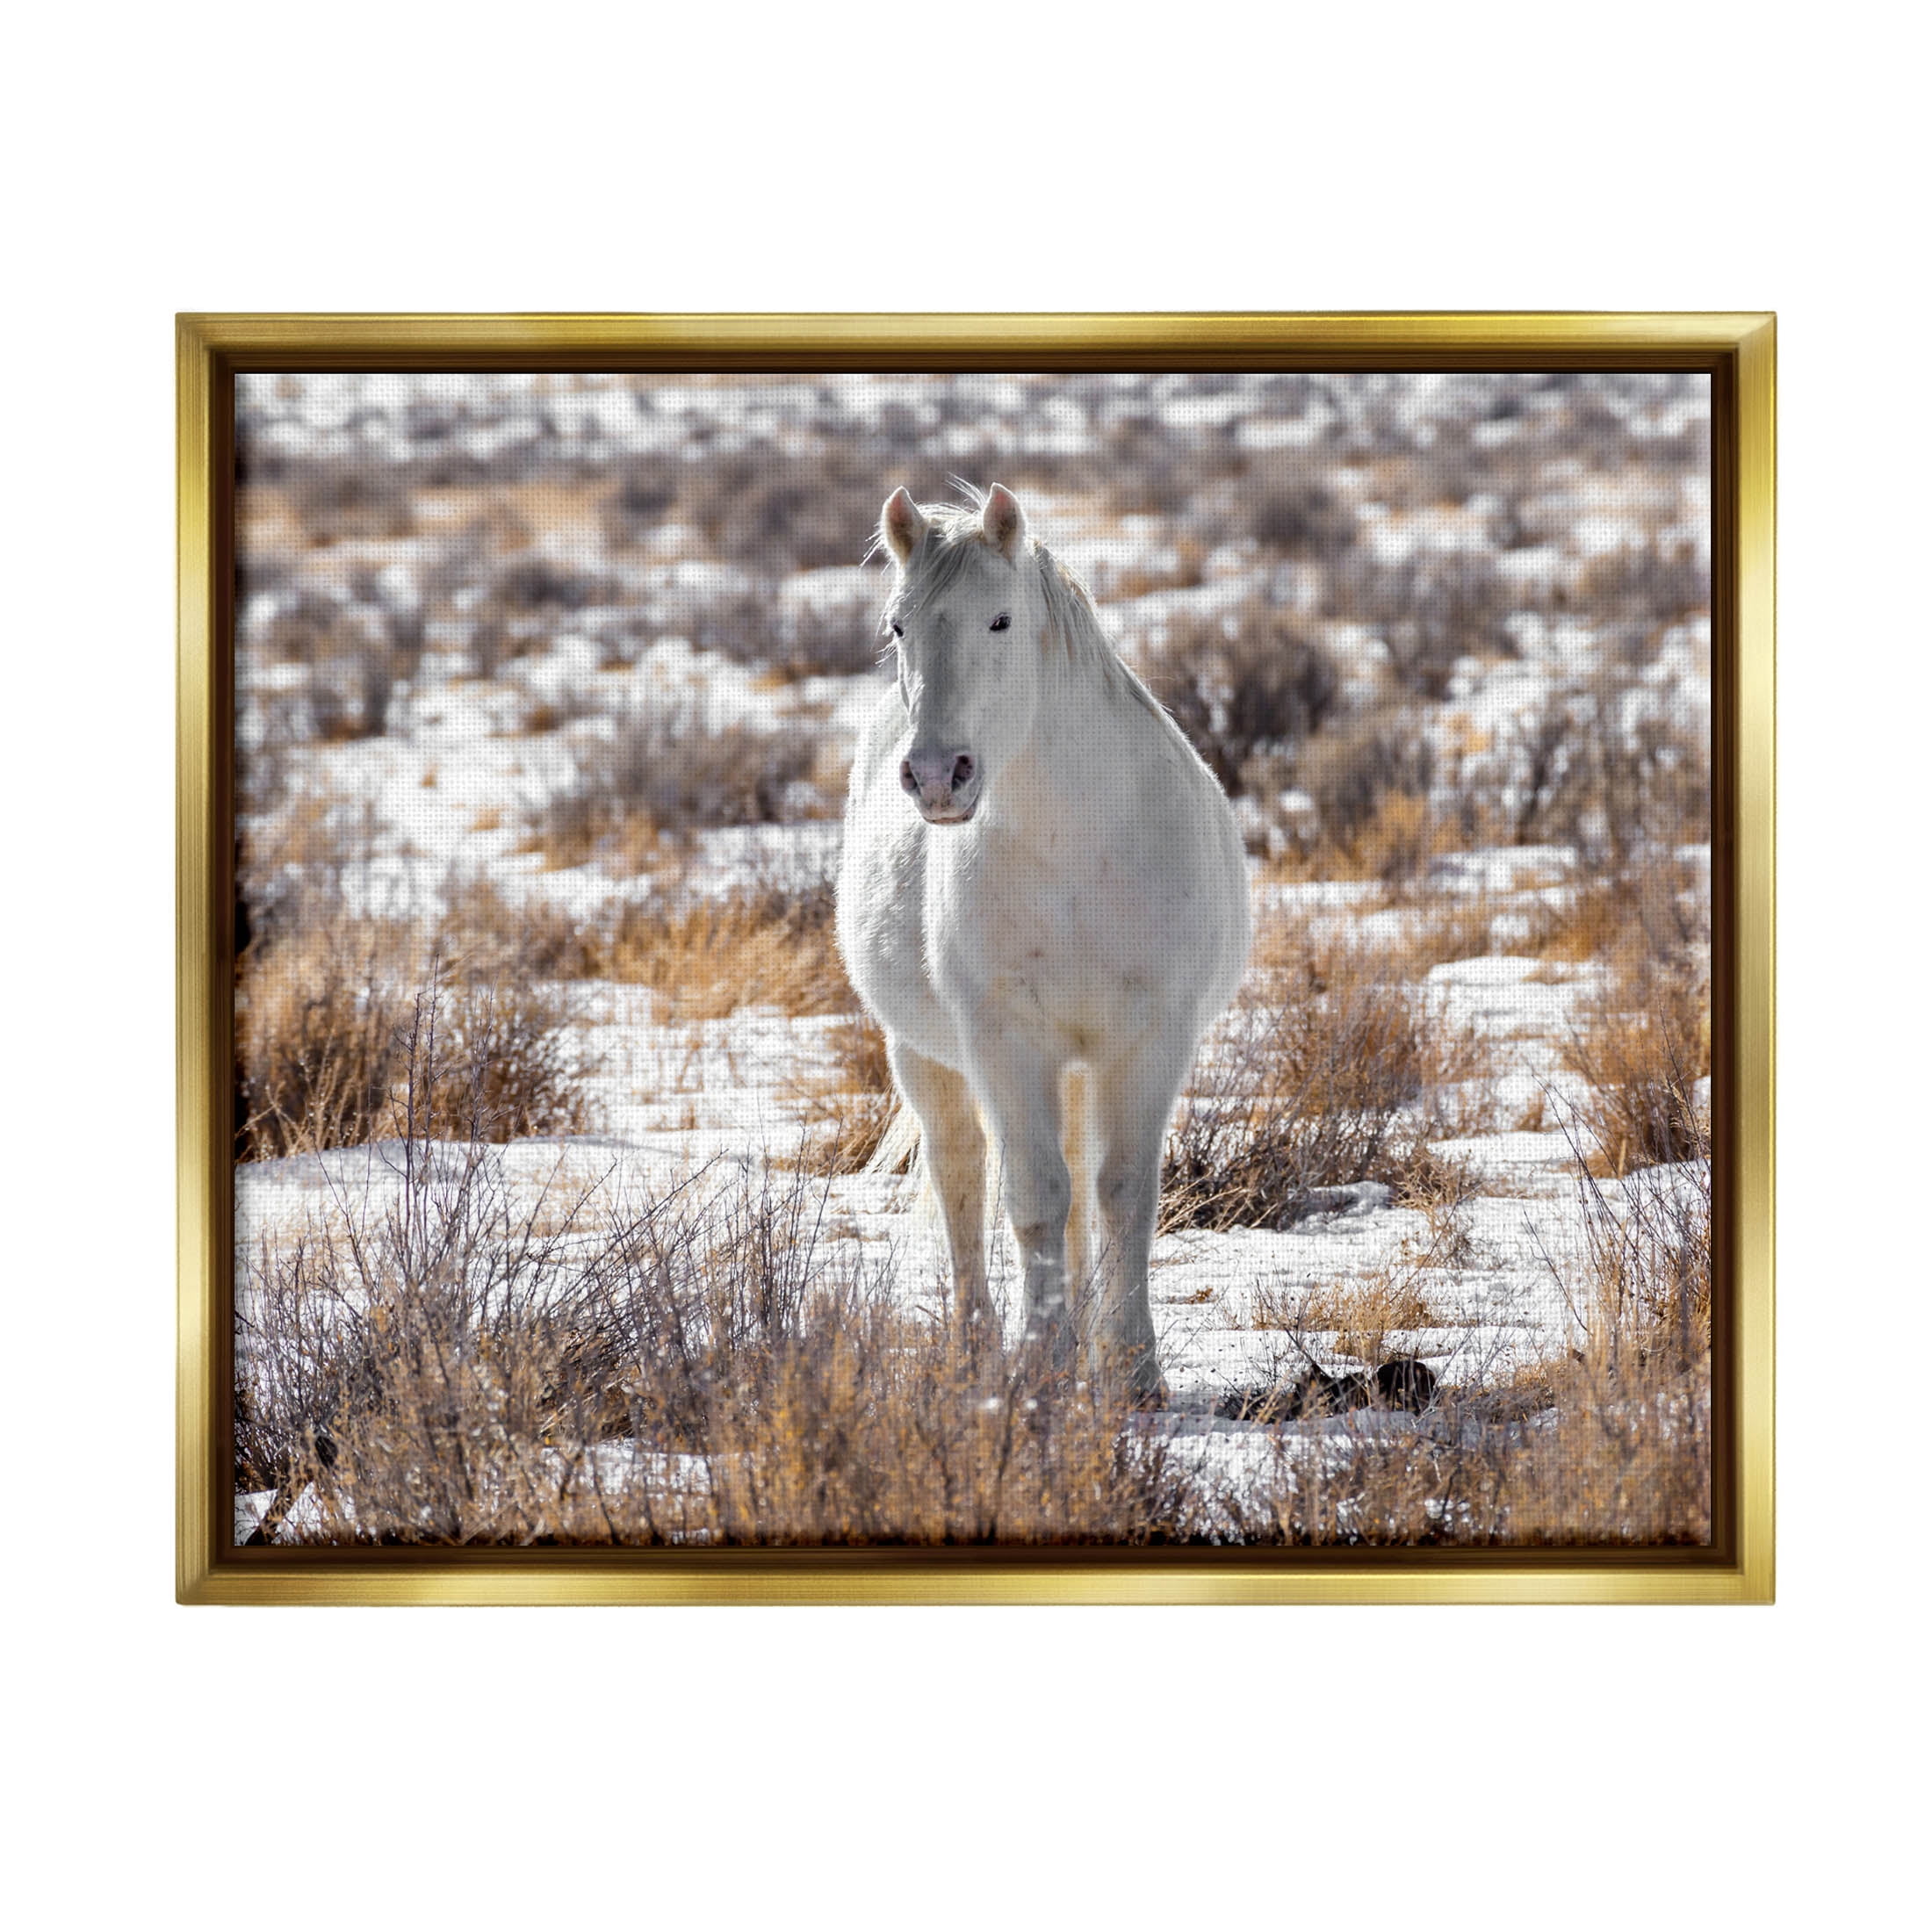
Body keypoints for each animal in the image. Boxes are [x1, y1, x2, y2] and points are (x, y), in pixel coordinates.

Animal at [835, 483, 1251, 1401]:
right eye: (898, 626)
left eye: (1000, 621)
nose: (936, 776)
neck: (1077, 850)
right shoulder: (1004, 1042)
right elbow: (1031, 1197)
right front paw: (1041, 1367)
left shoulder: (1149, 1039)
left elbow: (1122, 1193)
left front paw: (1132, 1371)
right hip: (928, 1057)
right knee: (962, 1176)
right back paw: (978, 1346)